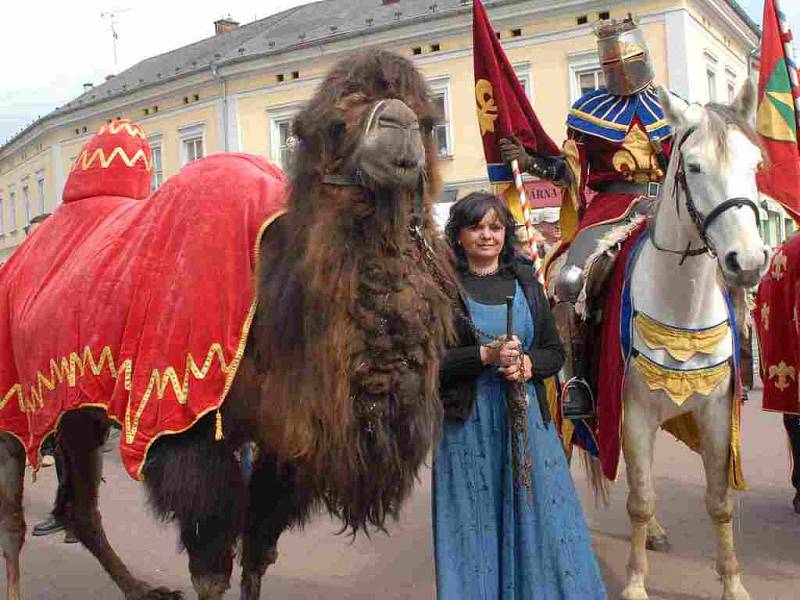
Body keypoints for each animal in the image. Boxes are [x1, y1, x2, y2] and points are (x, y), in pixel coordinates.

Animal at [616, 81, 764, 600]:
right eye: (694, 167)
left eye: (756, 163)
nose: (749, 262)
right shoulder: (633, 410)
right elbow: (638, 500)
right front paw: (634, 583)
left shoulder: (715, 411)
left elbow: (718, 501)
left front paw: (733, 582)